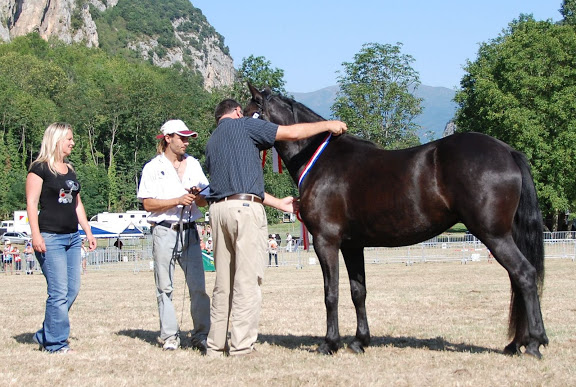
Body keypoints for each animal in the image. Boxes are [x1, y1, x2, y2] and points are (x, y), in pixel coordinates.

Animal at [244, 84, 548, 358]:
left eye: (248, 114)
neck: (320, 160)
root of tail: (508, 151)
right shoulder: (352, 246)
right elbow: (358, 291)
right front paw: (359, 341)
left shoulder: (325, 241)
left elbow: (331, 293)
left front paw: (330, 344)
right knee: (517, 279)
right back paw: (516, 343)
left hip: (493, 235)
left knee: (524, 274)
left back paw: (533, 343)